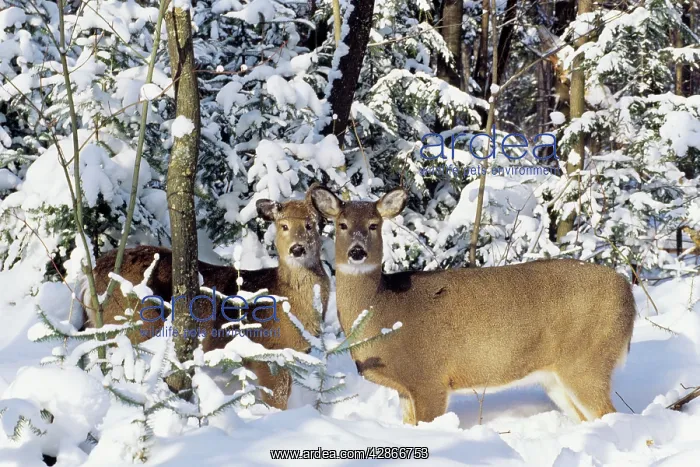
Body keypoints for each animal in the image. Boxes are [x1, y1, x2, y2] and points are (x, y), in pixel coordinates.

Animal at [79, 194, 330, 409]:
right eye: (283, 225)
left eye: (310, 224)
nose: (297, 249)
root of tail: (91, 275)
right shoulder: (264, 349)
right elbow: (277, 396)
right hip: (133, 321)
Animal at [309, 184, 636, 425]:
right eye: (342, 224)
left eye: (374, 225)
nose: (357, 252)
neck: (383, 310)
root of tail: (629, 294)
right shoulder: (405, 389)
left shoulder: (429, 377)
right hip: (556, 377)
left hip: (588, 359)